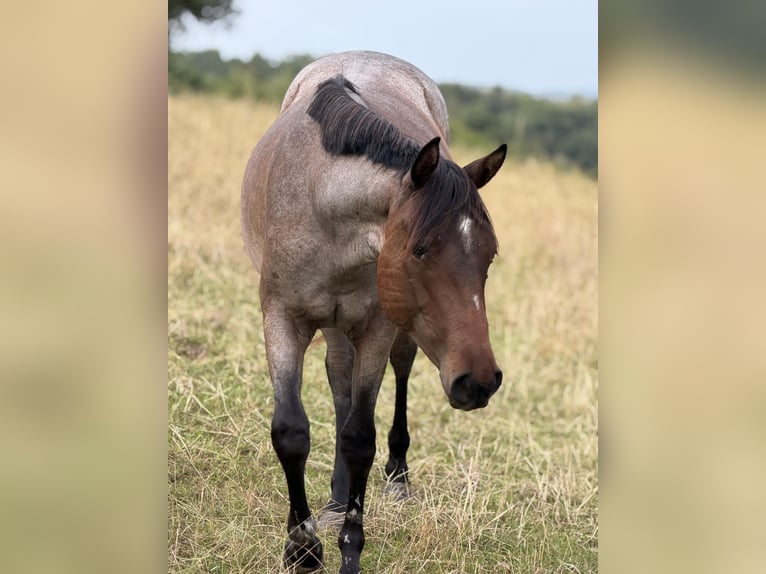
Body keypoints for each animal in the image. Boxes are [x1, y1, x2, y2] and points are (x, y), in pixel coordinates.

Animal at [241, 51, 506, 574]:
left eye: (490, 255)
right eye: (420, 250)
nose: (480, 381)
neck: (323, 204)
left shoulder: (378, 327)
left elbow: (360, 436)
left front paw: (348, 552)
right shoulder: (281, 318)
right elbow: (291, 431)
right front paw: (302, 550)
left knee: (395, 375)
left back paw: (396, 478)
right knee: (338, 380)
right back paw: (335, 499)